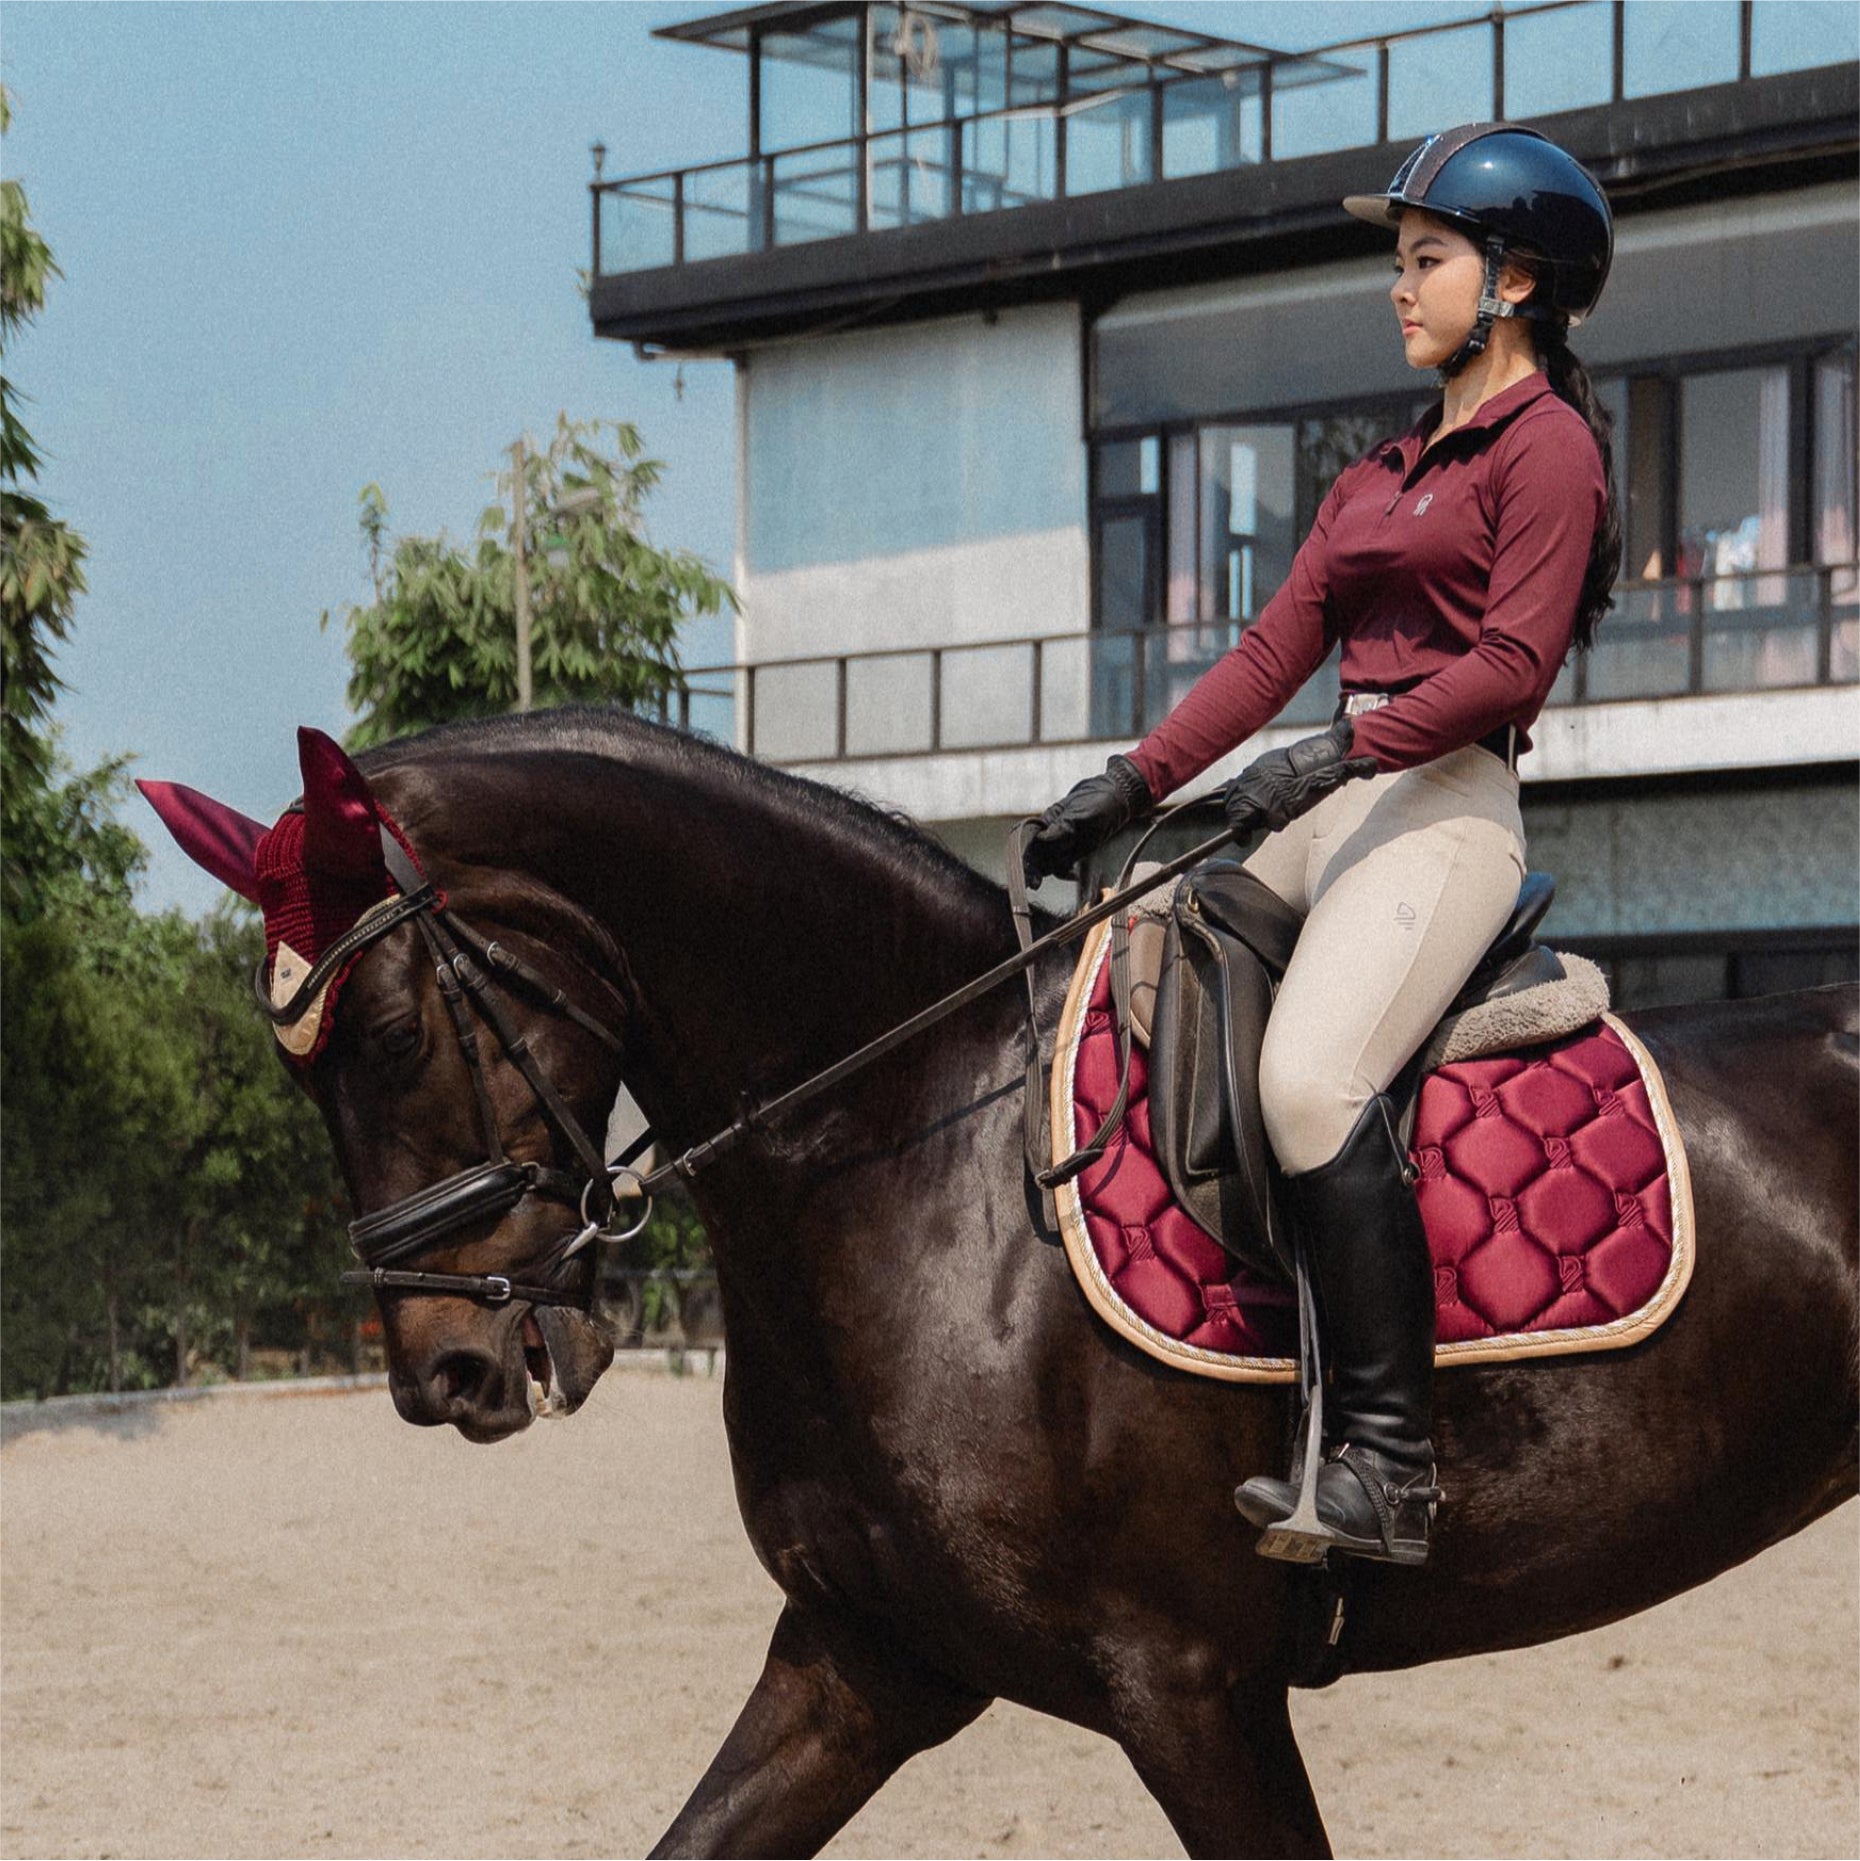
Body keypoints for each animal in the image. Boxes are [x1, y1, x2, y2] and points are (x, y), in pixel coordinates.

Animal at [142, 709, 1858, 1859]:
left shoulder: (1194, 1688)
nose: (446, 1371)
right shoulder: (864, 1660)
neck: (921, 1155)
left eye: (385, 1031)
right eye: (299, 1066)